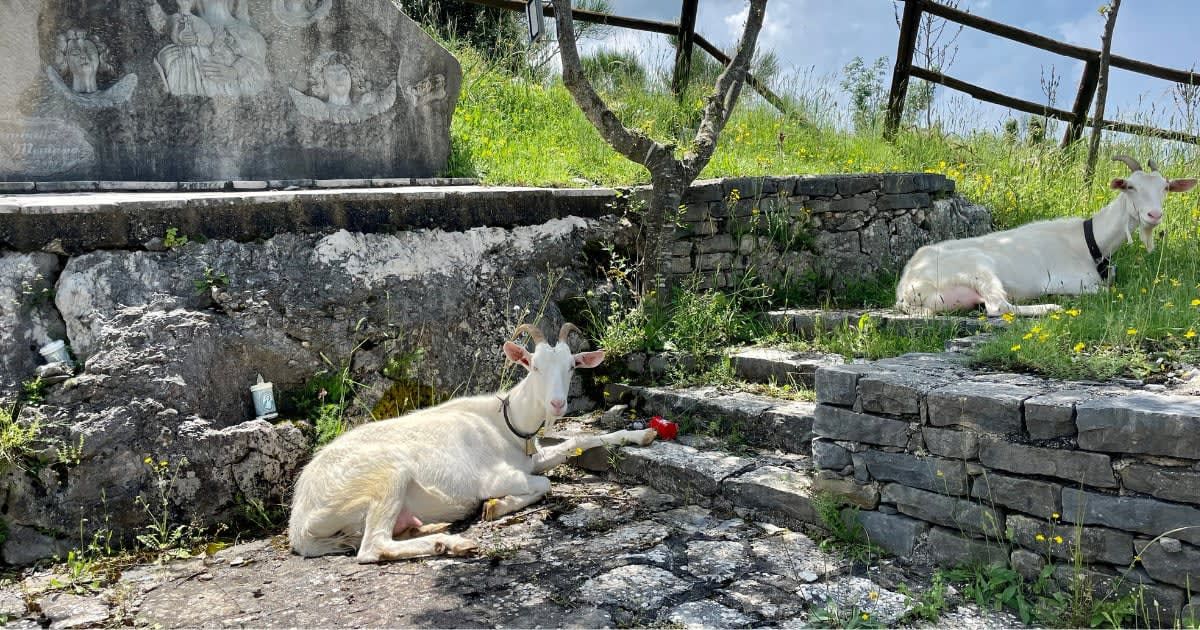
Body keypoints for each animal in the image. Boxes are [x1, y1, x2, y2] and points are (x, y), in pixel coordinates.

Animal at [289, 324, 657, 559]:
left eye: (571, 366)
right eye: (534, 367)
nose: (557, 404)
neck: (506, 423)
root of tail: (299, 525)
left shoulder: (531, 457)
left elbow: (578, 439)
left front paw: (641, 434)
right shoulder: (495, 476)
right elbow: (544, 484)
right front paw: (496, 505)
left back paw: (432, 529)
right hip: (385, 477)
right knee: (372, 547)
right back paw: (450, 544)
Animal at [897, 154, 1195, 316]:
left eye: (1165, 187)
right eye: (1130, 187)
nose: (1154, 215)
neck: (1090, 241)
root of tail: (906, 288)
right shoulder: (1069, 280)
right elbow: (1105, 291)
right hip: (978, 268)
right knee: (999, 307)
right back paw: (1050, 307)